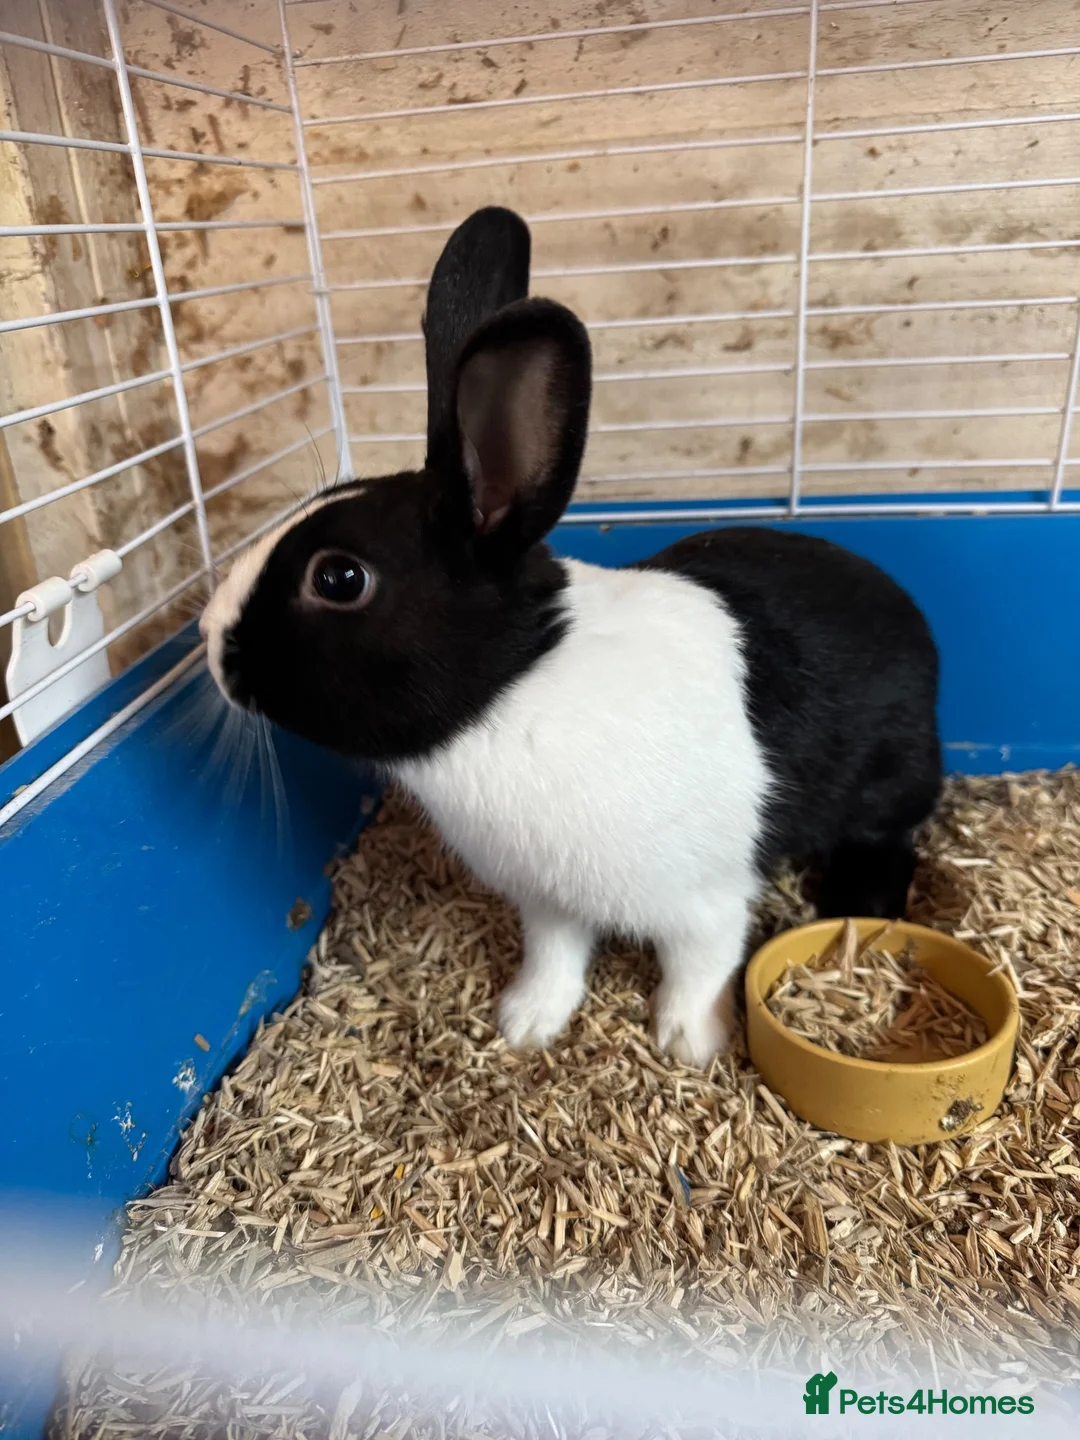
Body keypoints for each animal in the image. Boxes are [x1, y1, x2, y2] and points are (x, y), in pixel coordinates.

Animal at [200, 205, 942, 1068]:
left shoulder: (706, 900)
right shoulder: (549, 900)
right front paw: (525, 1024)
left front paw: (687, 1045)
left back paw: (858, 903)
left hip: (888, 784)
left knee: (890, 839)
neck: (517, 688)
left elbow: (700, 966)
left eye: (340, 579)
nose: (208, 642)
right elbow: (555, 956)